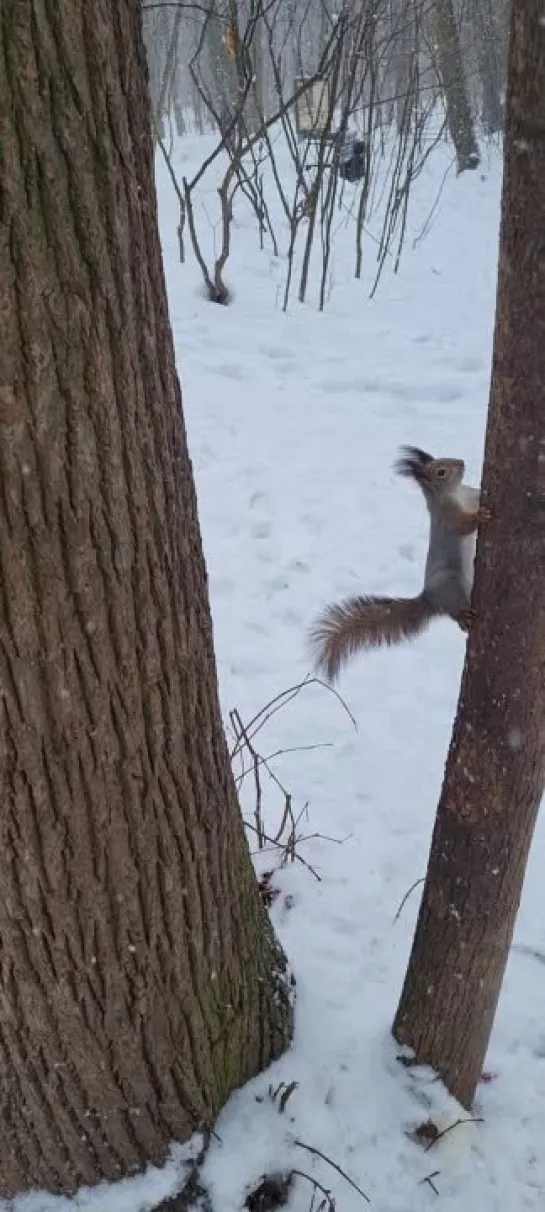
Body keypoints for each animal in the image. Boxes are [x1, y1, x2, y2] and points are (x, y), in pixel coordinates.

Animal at [308, 446, 491, 683]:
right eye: (441, 472)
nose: (461, 463)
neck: (456, 493)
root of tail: (429, 599)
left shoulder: (470, 495)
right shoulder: (448, 517)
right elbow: (462, 525)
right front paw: (480, 516)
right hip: (450, 583)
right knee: (453, 611)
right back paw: (463, 617)